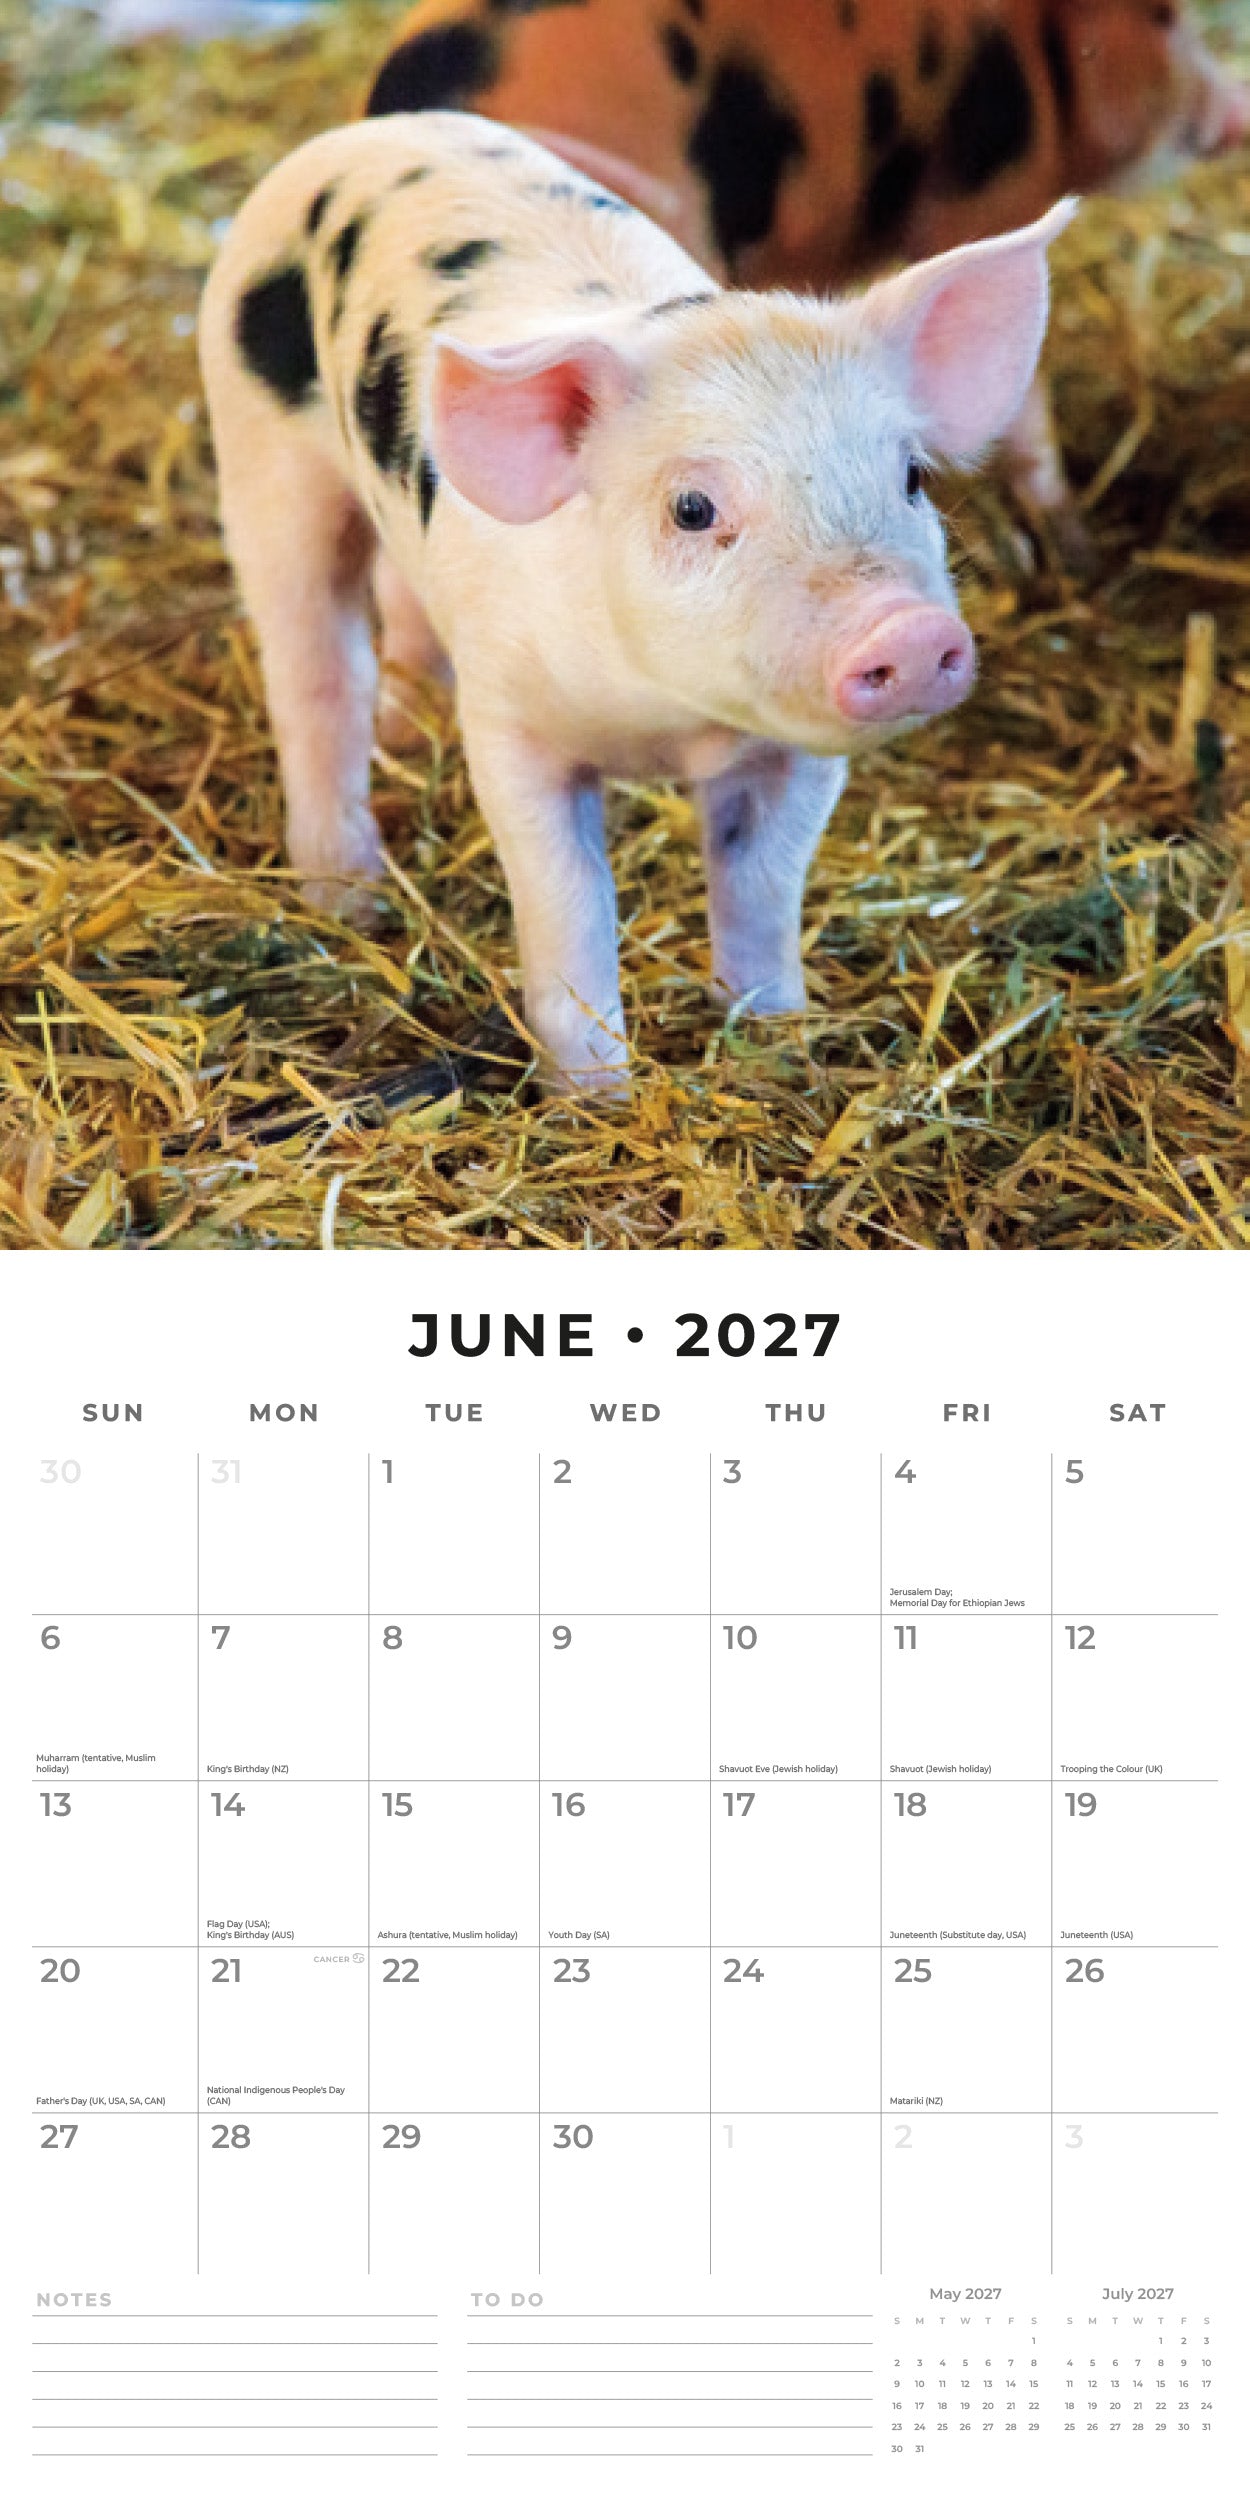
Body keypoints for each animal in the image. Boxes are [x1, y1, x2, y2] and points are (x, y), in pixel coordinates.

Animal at [199, 112, 1072, 1089]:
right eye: (692, 508)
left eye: (913, 477)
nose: (910, 631)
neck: (668, 724)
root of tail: (372, 131)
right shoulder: (511, 724)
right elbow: (570, 897)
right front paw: (593, 1094)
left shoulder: (796, 755)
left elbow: (762, 881)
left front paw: (770, 1035)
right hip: (261, 456)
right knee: (314, 668)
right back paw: (347, 900)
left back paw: (410, 738)